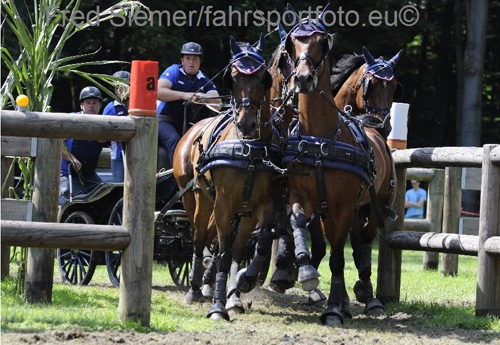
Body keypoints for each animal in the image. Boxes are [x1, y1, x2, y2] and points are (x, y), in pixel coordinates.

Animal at [174, 34, 280, 320]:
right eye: (232, 77)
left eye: (263, 78)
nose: (246, 123)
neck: (250, 148)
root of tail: (193, 129)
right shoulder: (223, 203)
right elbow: (222, 252)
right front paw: (218, 306)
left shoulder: (260, 205)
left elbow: (251, 246)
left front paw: (239, 290)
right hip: (196, 198)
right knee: (198, 236)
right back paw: (194, 289)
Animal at [282, 4, 394, 324]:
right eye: (292, 42)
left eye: (322, 42)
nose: (303, 78)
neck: (321, 138)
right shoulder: (301, 197)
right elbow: (297, 221)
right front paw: (305, 270)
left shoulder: (343, 207)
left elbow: (337, 258)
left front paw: (333, 307)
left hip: (375, 204)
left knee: (363, 242)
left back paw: (367, 296)